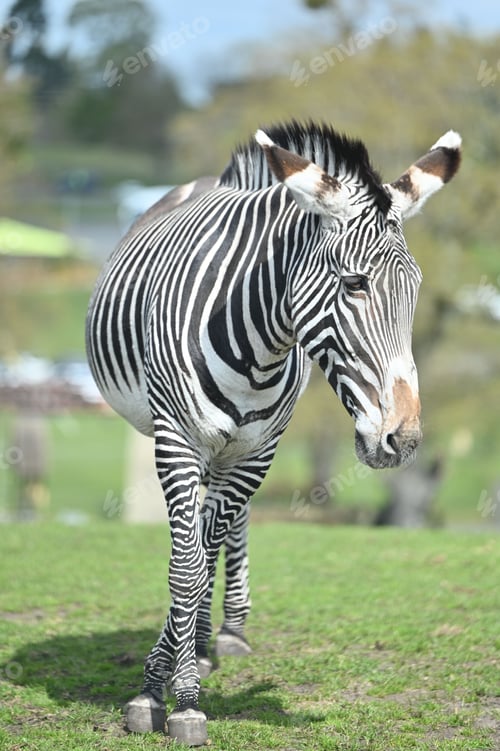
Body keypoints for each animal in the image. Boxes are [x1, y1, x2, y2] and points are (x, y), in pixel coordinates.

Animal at [86, 120, 461, 745]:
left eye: (415, 288)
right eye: (354, 284)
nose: (403, 441)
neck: (258, 345)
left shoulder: (259, 452)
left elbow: (204, 552)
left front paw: (179, 678)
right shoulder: (176, 440)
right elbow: (185, 566)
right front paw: (165, 696)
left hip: (237, 451)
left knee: (223, 528)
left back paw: (219, 637)